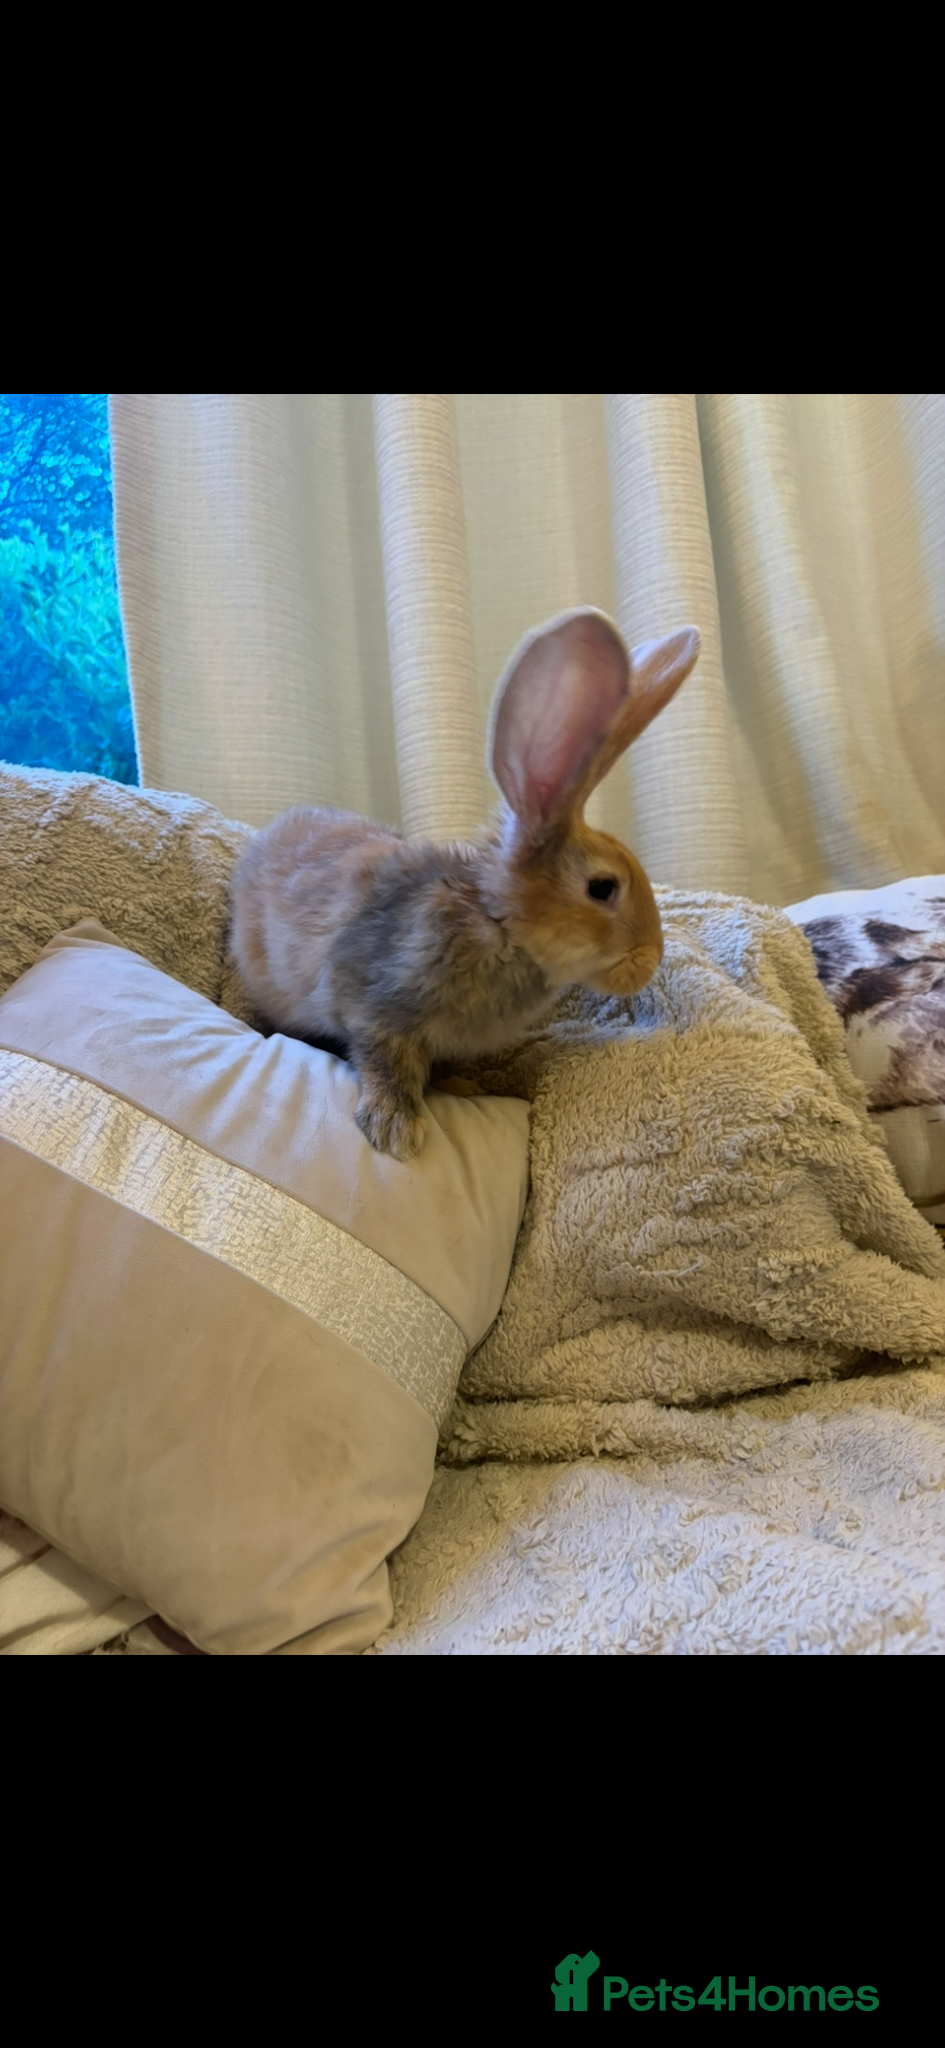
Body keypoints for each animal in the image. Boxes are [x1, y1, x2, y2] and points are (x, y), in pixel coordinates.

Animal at [229, 607, 700, 1160]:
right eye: (602, 888)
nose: (649, 961)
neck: (497, 924)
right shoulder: (377, 1009)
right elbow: (386, 1063)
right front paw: (395, 1130)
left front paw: (461, 1088)